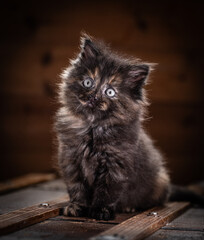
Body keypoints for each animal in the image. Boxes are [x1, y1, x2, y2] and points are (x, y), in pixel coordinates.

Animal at [55, 34, 203, 220]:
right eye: (88, 82)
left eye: (110, 92)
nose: (94, 97)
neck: (92, 127)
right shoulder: (71, 159)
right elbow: (77, 188)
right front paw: (77, 207)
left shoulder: (115, 164)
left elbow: (107, 190)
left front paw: (101, 210)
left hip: (160, 181)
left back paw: (130, 207)